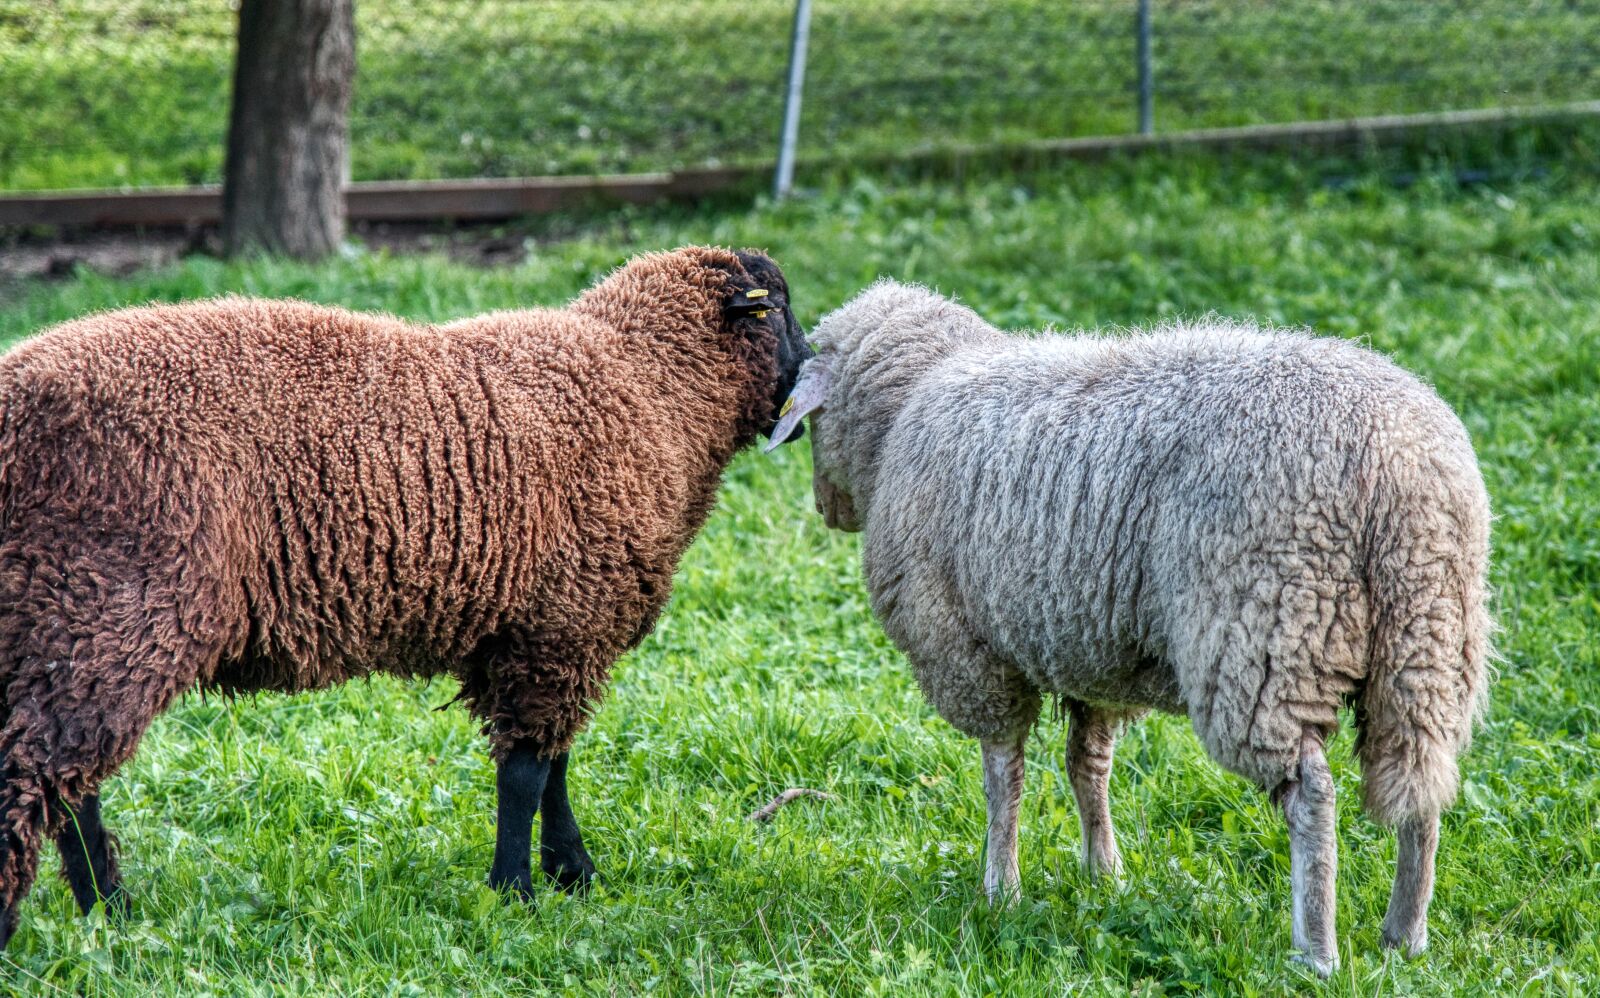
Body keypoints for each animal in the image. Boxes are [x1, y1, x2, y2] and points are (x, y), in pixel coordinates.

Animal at [0, 246, 811, 947]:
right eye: (779, 310)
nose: (808, 375)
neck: (651, 385)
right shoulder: (562, 625)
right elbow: (527, 773)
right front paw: (515, 890)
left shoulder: (542, 631)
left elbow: (553, 766)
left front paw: (570, 873)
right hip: (105, 608)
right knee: (38, 777)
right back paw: (58, 914)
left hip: (54, 620)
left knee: (70, 785)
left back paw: (110, 911)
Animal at [767, 281, 1491, 975]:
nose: (824, 510)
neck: (911, 402)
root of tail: (1399, 473)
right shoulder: (1088, 648)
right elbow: (1087, 764)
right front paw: (1104, 873)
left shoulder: (966, 649)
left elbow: (1004, 774)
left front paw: (1001, 887)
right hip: (1428, 641)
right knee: (1421, 785)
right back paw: (1405, 934)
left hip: (1264, 637)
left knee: (1311, 793)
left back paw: (1315, 951)